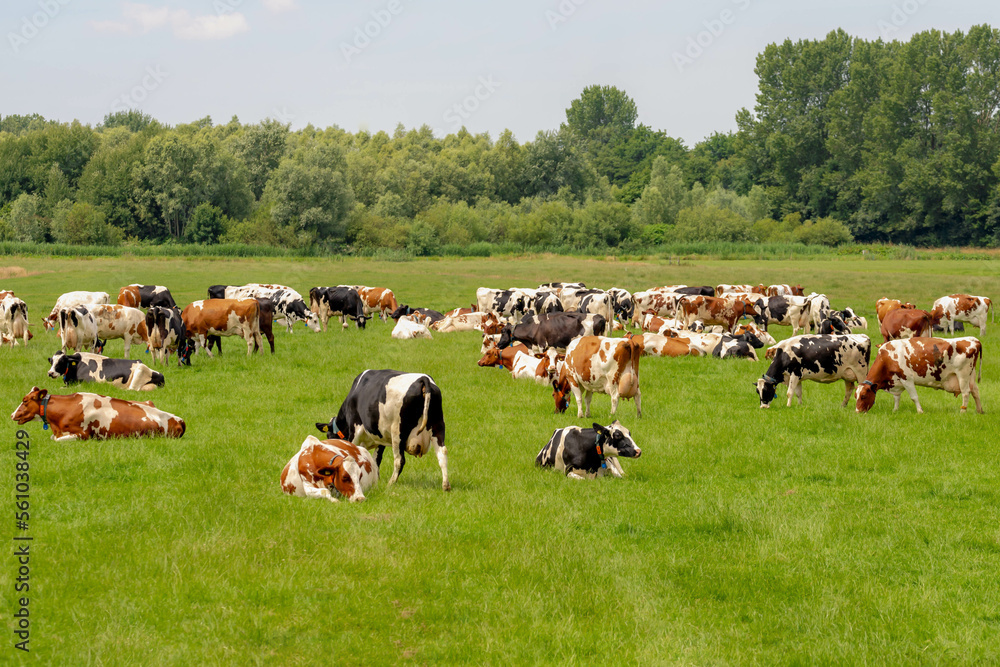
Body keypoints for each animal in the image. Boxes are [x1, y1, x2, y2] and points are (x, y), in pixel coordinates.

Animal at [315, 370, 449, 491]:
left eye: (329, 437)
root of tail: (423, 379)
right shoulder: (380, 437)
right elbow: (376, 460)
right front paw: (375, 481)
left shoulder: (355, 430)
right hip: (438, 426)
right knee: (442, 453)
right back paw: (445, 486)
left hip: (398, 432)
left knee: (399, 460)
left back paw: (391, 483)